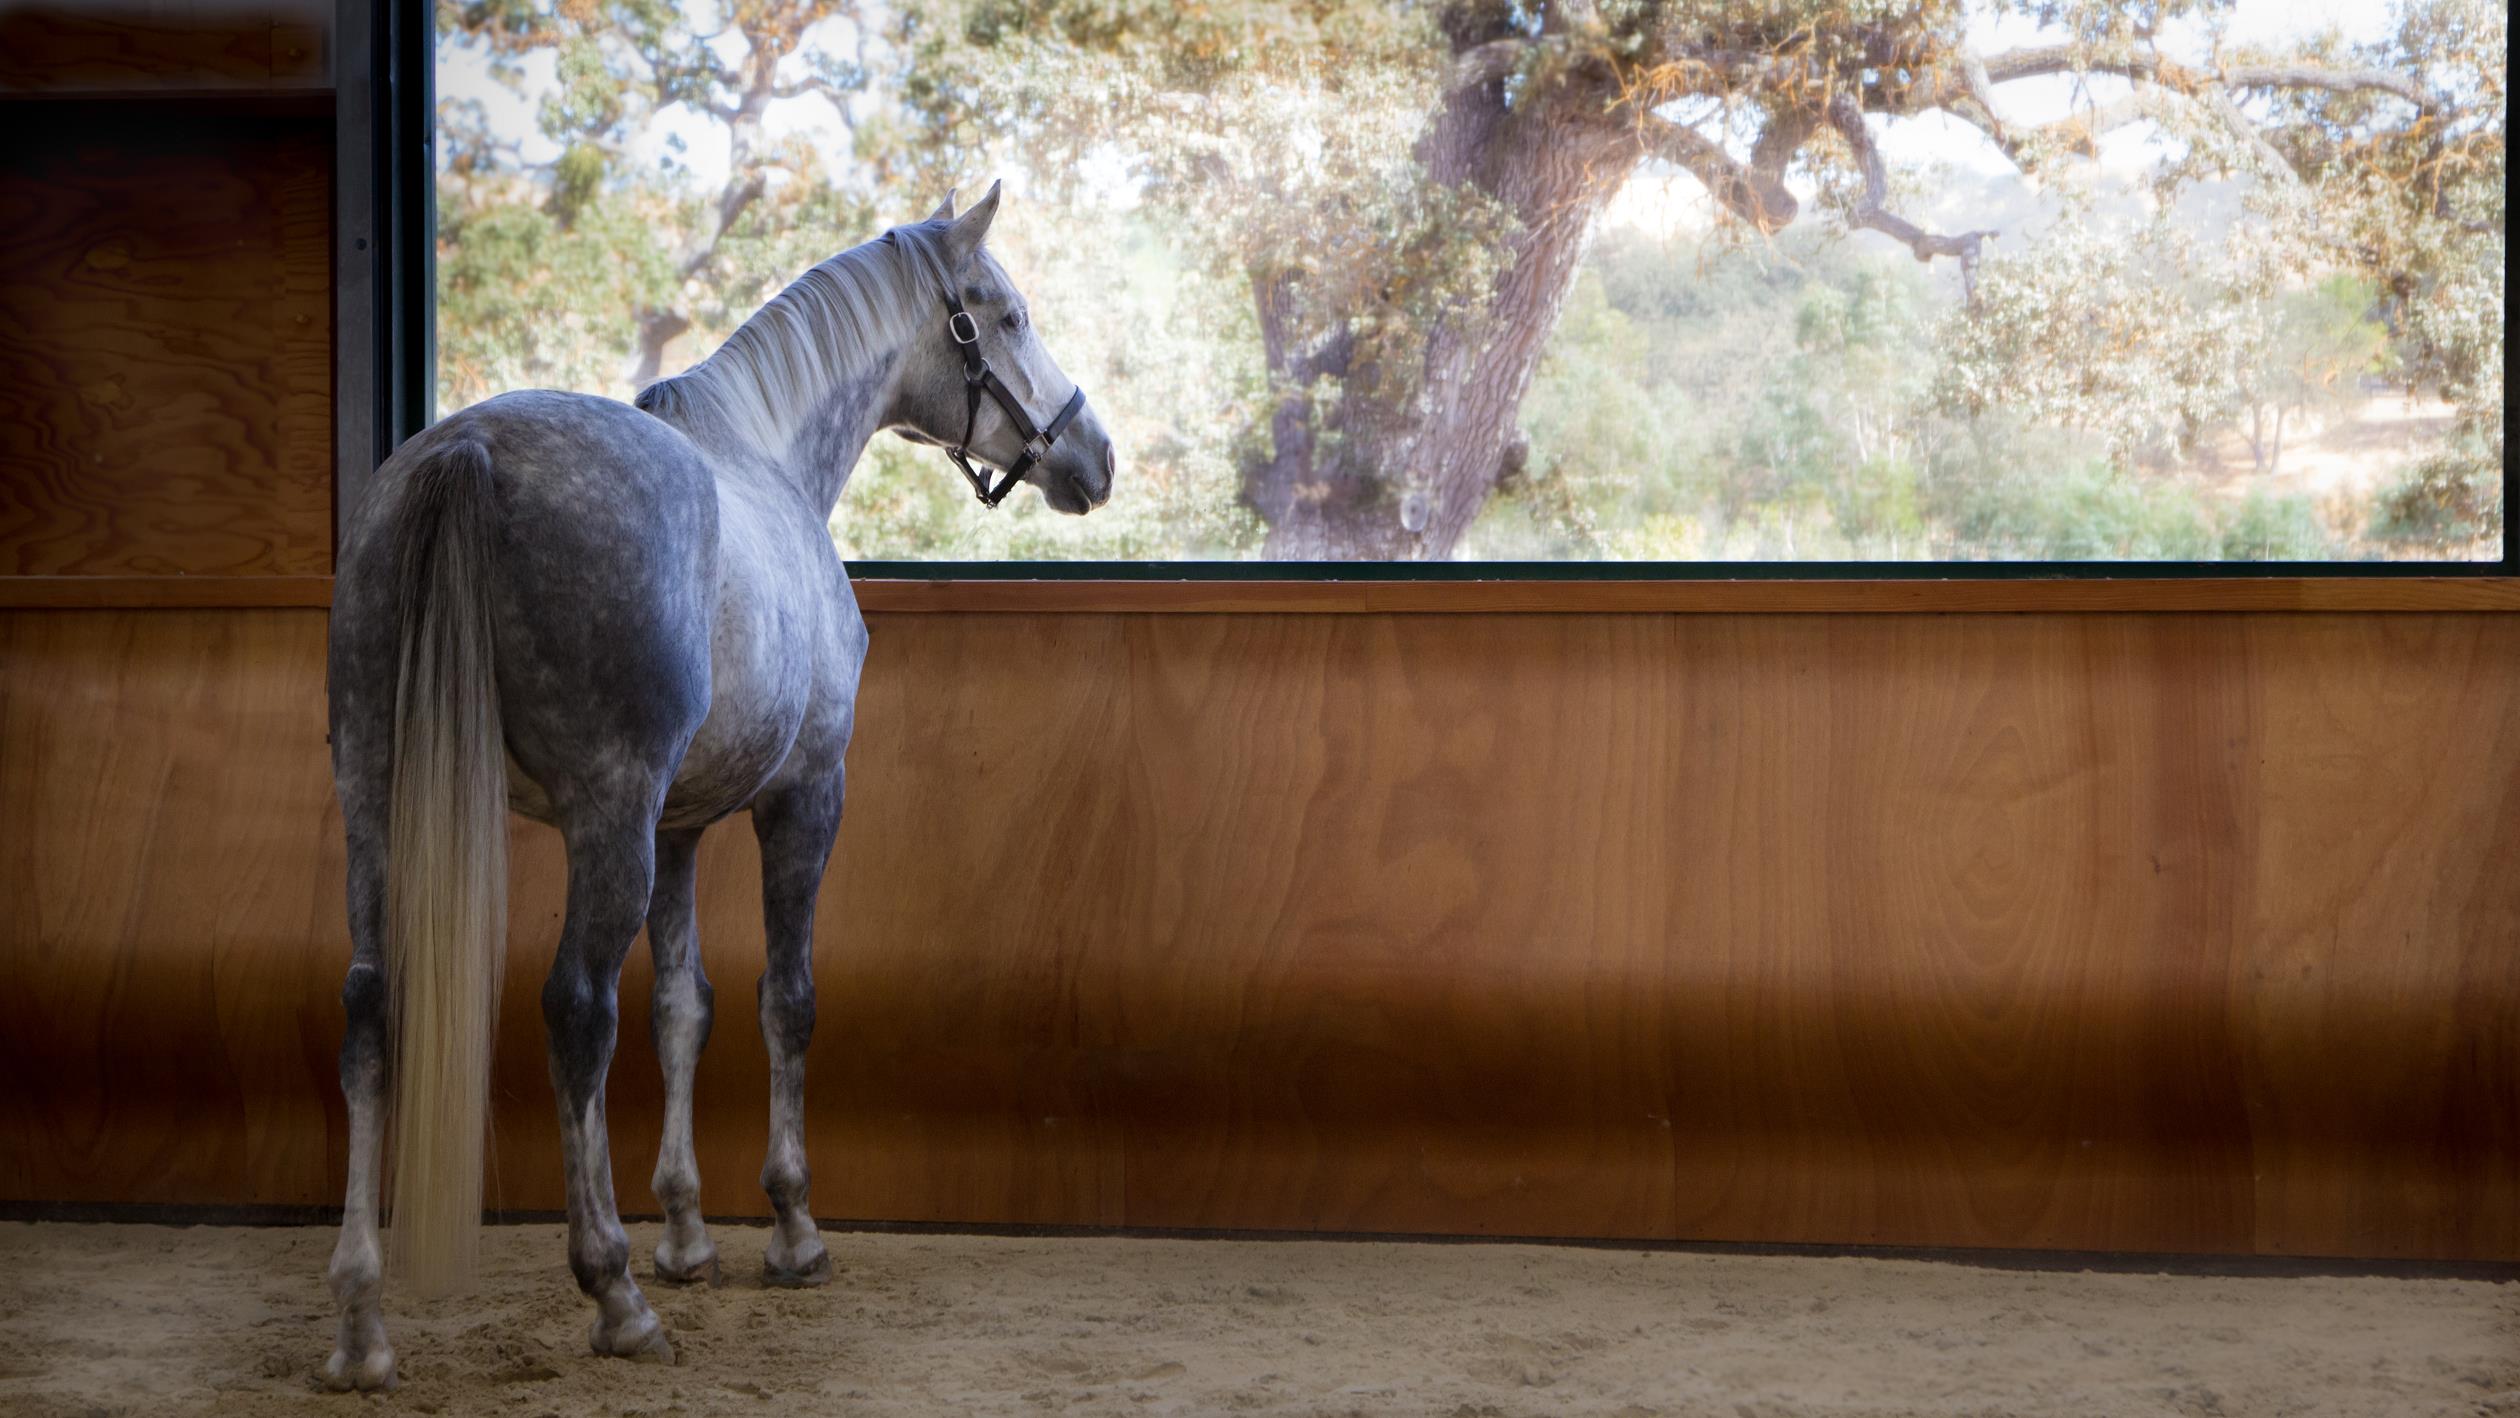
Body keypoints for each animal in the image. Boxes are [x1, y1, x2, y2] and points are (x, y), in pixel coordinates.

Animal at [319, 183, 1114, 1390]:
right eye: (1006, 314)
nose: (1093, 457)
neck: (767, 456)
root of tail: (468, 450)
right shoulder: (804, 798)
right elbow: (785, 999)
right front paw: (789, 1231)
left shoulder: (680, 830)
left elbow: (682, 1007)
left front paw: (689, 1234)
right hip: (605, 816)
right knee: (575, 1009)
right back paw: (612, 1292)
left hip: (376, 795)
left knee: (373, 1007)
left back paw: (363, 1324)